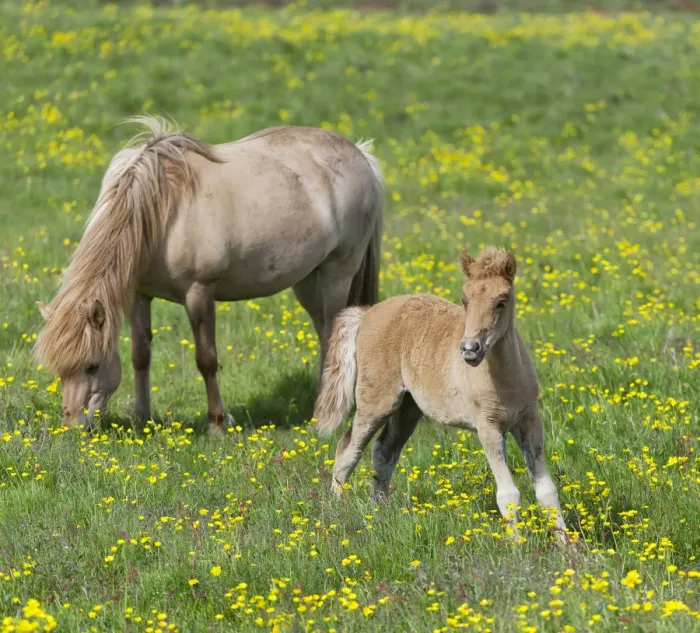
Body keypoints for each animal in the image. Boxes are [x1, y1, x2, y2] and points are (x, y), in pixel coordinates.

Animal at [35, 116, 384, 435]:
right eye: (58, 368)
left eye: (92, 365)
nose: (71, 426)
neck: (161, 211)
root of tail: (361, 155)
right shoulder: (139, 295)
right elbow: (140, 355)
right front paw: (142, 418)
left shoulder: (199, 292)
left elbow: (206, 359)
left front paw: (217, 423)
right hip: (309, 281)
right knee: (325, 333)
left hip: (337, 273)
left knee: (334, 335)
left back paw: (324, 418)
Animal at [313, 247, 569, 543]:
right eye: (465, 300)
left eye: (501, 302)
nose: (470, 348)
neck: (505, 380)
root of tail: (367, 313)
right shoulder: (488, 426)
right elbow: (508, 494)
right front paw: (518, 546)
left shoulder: (529, 420)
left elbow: (547, 490)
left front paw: (568, 547)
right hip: (376, 401)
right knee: (347, 450)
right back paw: (335, 515)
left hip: (408, 409)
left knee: (384, 450)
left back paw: (381, 512)